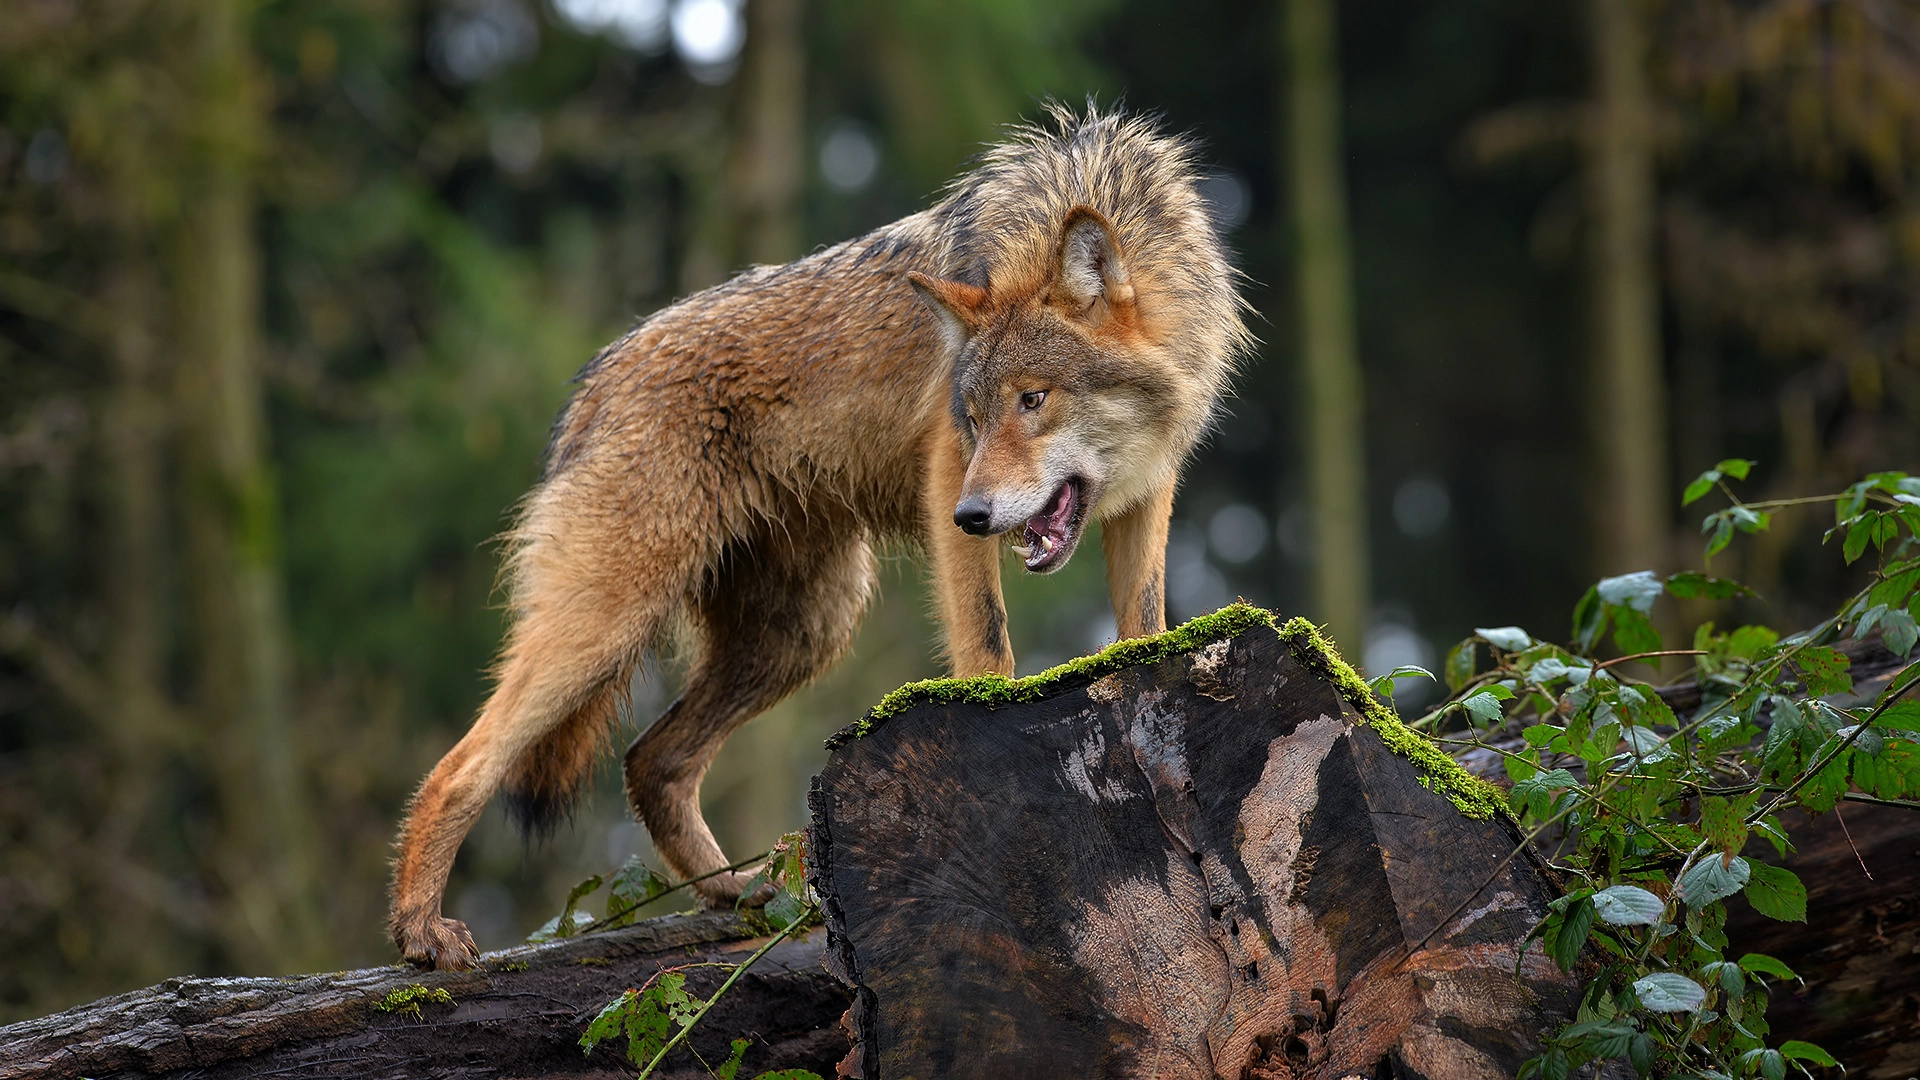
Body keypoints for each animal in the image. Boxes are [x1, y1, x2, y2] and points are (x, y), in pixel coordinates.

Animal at [391, 105, 1259, 968]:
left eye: (1034, 400)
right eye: (973, 418)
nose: (974, 517)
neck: (1100, 199)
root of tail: (594, 381)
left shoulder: (1148, 495)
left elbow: (1144, 628)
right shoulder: (947, 472)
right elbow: (989, 646)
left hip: (802, 632)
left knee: (651, 761)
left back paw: (742, 898)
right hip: (612, 624)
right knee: (463, 767)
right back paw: (420, 931)